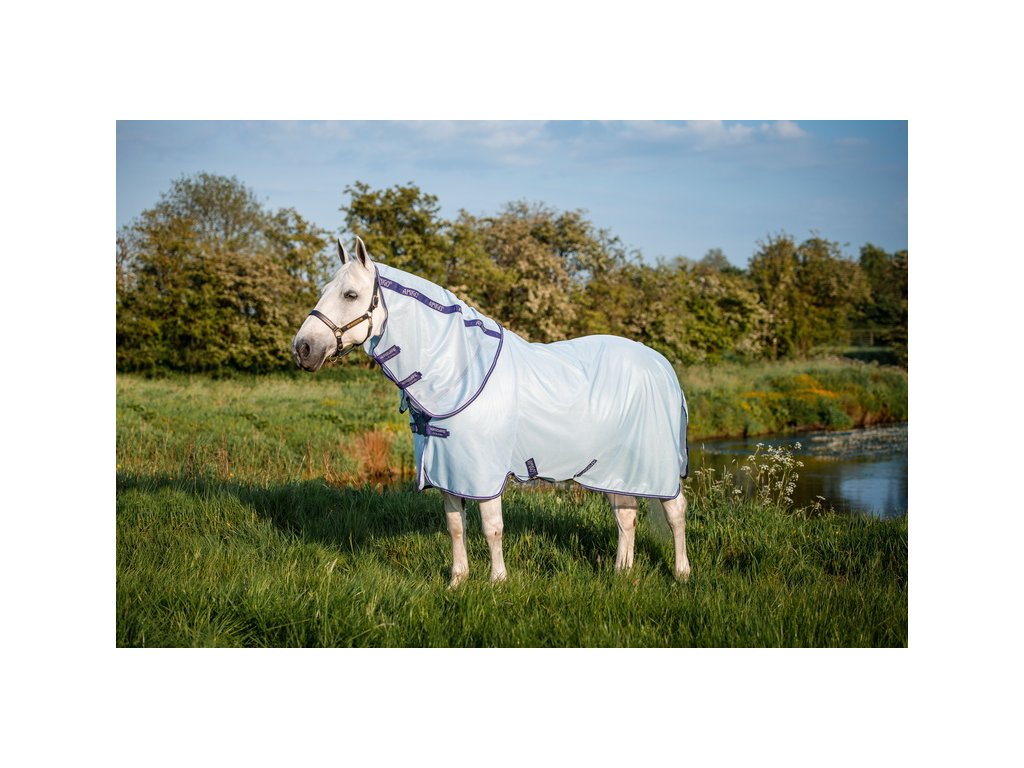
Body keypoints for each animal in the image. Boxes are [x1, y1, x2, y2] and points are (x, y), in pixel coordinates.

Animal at [292, 236, 691, 587]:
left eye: (350, 295)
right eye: (324, 290)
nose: (303, 348)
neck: (459, 371)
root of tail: (660, 364)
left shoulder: (483, 472)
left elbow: (491, 527)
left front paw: (497, 581)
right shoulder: (448, 472)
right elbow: (456, 526)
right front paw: (457, 581)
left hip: (656, 464)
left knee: (674, 511)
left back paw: (681, 573)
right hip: (614, 468)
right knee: (626, 514)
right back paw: (622, 573)